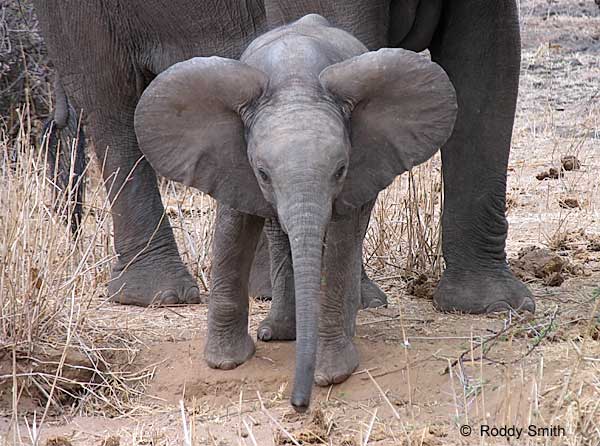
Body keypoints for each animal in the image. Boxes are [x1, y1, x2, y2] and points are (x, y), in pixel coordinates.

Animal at [135, 13, 454, 412]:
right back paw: (278, 333)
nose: (299, 404)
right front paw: (225, 363)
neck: (296, 80)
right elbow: (232, 233)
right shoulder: (230, 158)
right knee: (277, 232)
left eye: (340, 170)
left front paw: (332, 373)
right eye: (262, 173)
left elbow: (340, 240)